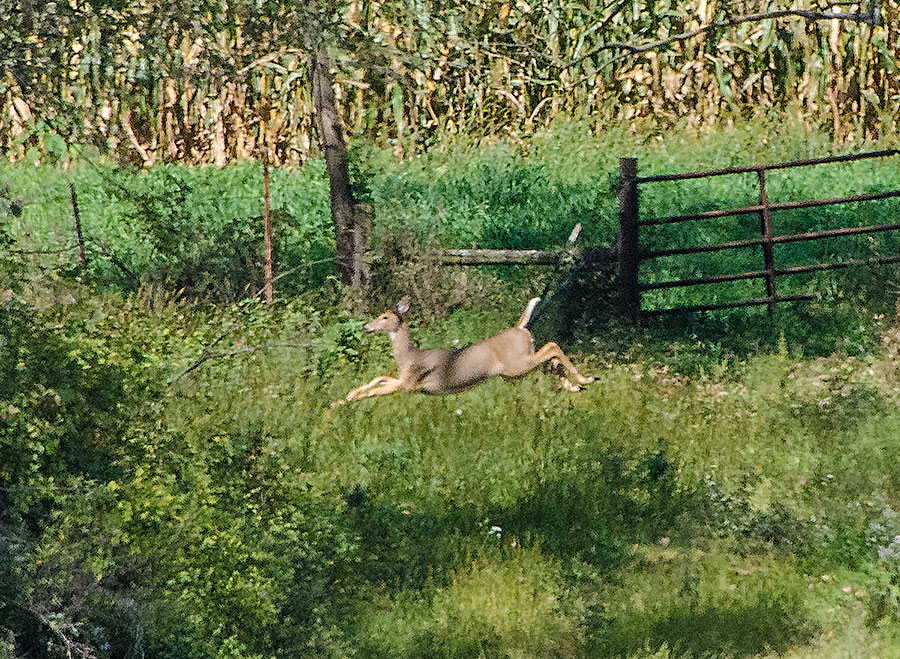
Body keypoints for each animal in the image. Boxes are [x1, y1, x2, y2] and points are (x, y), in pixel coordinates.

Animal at [331, 296, 595, 406]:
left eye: (384, 317)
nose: (366, 326)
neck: (409, 358)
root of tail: (520, 327)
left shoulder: (410, 383)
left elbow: (378, 389)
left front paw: (341, 403)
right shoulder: (404, 379)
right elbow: (379, 378)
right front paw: (348, 395)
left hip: (516, 364)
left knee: (552, 346)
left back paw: (586, 379)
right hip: (520, 367)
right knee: (550, 359)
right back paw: (574, 385)